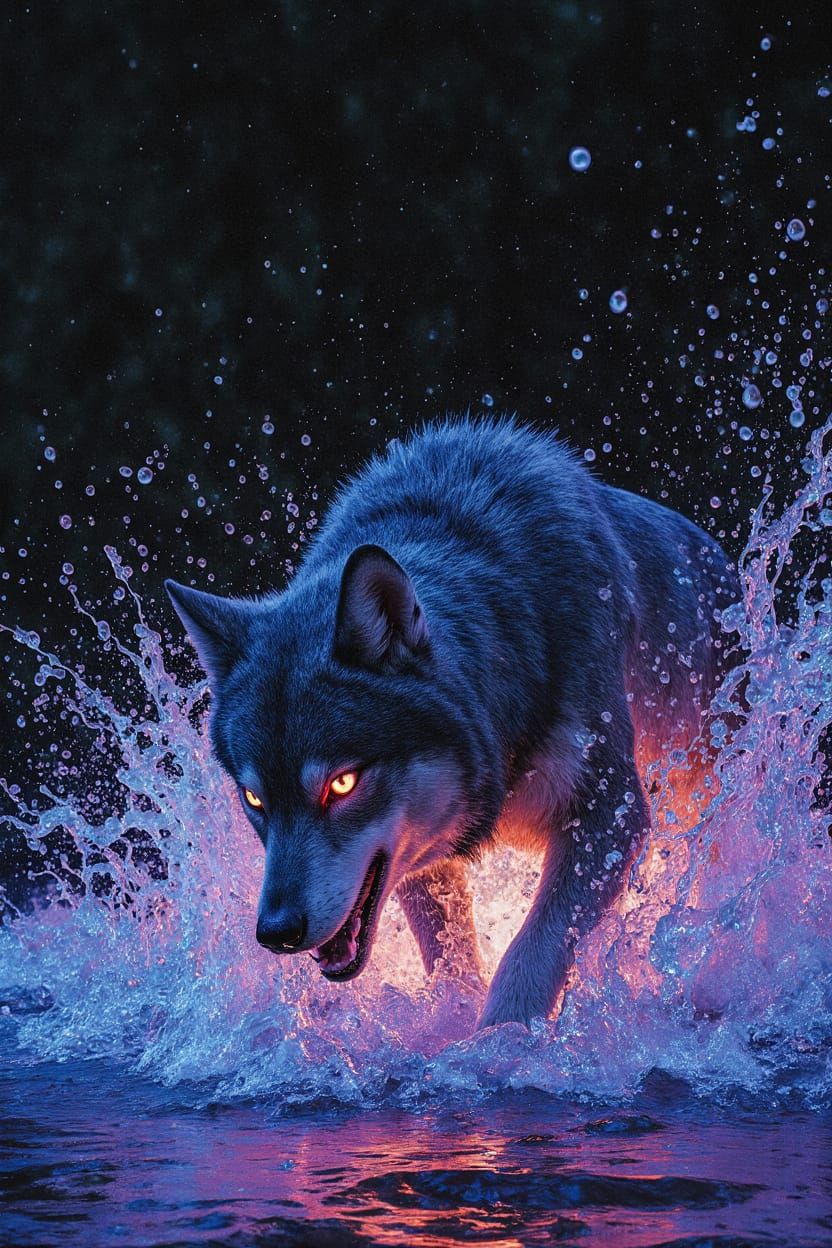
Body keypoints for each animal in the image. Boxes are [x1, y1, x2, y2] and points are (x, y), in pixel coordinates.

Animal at [166, 418, 739, 1028]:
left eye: (341, 784)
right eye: (255, 800)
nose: (276, 933)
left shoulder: (612, 814)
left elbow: (531, 952)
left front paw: (503, 1040)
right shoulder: (422, 855)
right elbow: (449, 955)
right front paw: (452, 1021)